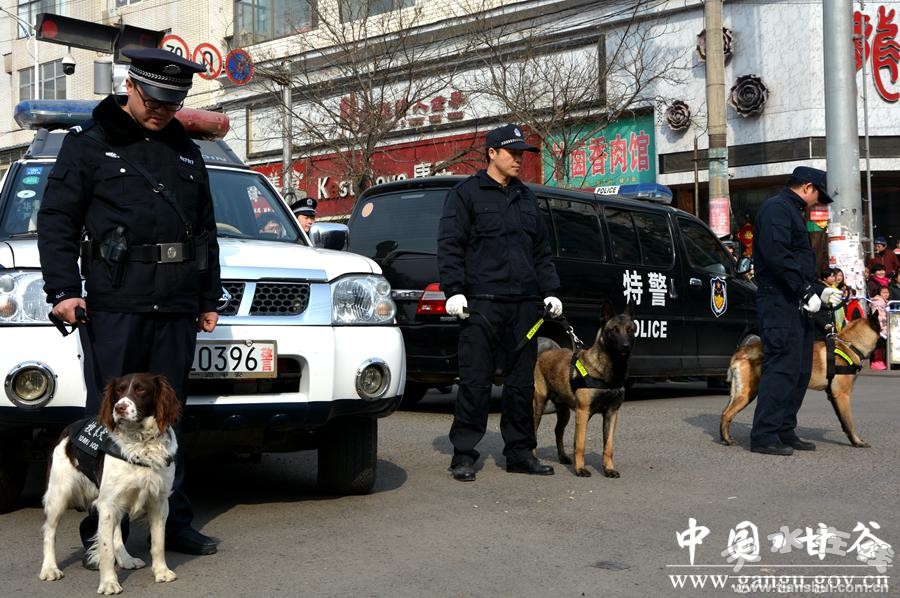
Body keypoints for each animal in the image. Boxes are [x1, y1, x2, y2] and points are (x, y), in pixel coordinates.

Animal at [40, 373, 182, 595]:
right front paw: (108, 583)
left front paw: (161, 572)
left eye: (141, 389)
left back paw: (126, 559)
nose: (119, 407)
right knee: (49, 531)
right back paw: (49, 569)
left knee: (116, 532)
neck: (140, 443)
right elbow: (105, 550)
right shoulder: (107, 504)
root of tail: (68, 428)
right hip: (59, 495)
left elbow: (158, 542)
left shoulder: (158, 501)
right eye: (119, 391)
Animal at [533, 304, 635, 477]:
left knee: (558, 431)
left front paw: (608, 469)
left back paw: (562, 456)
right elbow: (580, 443)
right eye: (614, 330)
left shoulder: (612, 413)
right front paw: (580, 469)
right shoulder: (583, 411)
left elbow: (608, 446)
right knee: (533, 430)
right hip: (539, 405)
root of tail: (543, 353)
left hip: (565, 413)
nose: (625, 347)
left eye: (630, 330)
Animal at [720, 310, 882, 448]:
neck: (850, 346)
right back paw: (729, 440)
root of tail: (742, 351)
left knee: (724, 413)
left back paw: (724, 438)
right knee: (727, 414)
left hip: (737, 394)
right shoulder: (843, 395)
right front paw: (857, 442)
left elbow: (843, 422)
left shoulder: (835, 396)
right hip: (748, 393)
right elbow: (849, 422)